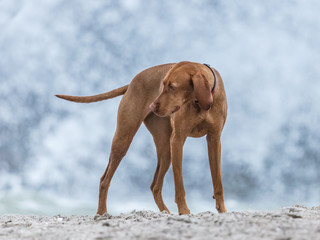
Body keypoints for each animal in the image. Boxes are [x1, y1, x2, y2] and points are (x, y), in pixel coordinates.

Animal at [57, 61, 228, 215]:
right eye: (162, 84)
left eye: (172, 87)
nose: (152, 106)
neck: (201, 101)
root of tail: (132, 82)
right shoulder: (178, 140)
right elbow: (179, 184)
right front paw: (184, 211)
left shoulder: (214, 140)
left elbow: (218, 181)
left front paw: (222, 210)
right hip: (124, 139)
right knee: (104, 180)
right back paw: (101, 213)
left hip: (166, 150)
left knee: (155, 186)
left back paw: (165, 212)